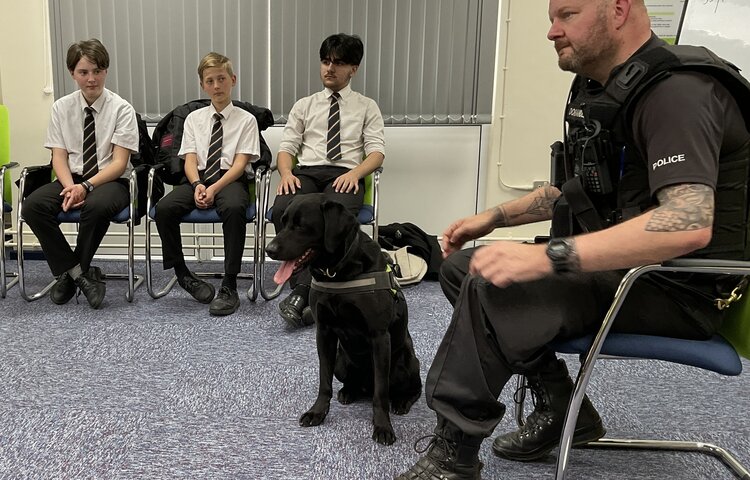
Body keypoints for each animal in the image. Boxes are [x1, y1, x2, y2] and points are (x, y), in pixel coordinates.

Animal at [266, 193, 424, 444]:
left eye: (301, 225)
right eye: (283, 221)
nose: (269, 249)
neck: (337, 273)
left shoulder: (379, 337)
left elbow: (381, 392)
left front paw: (382, 426)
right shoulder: (324, 333)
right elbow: (324, 380)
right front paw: (317, 412)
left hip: (405, 364)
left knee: (410, 388)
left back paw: (401, 402)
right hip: (341, 361)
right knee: (354, 383)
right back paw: (348, 391)